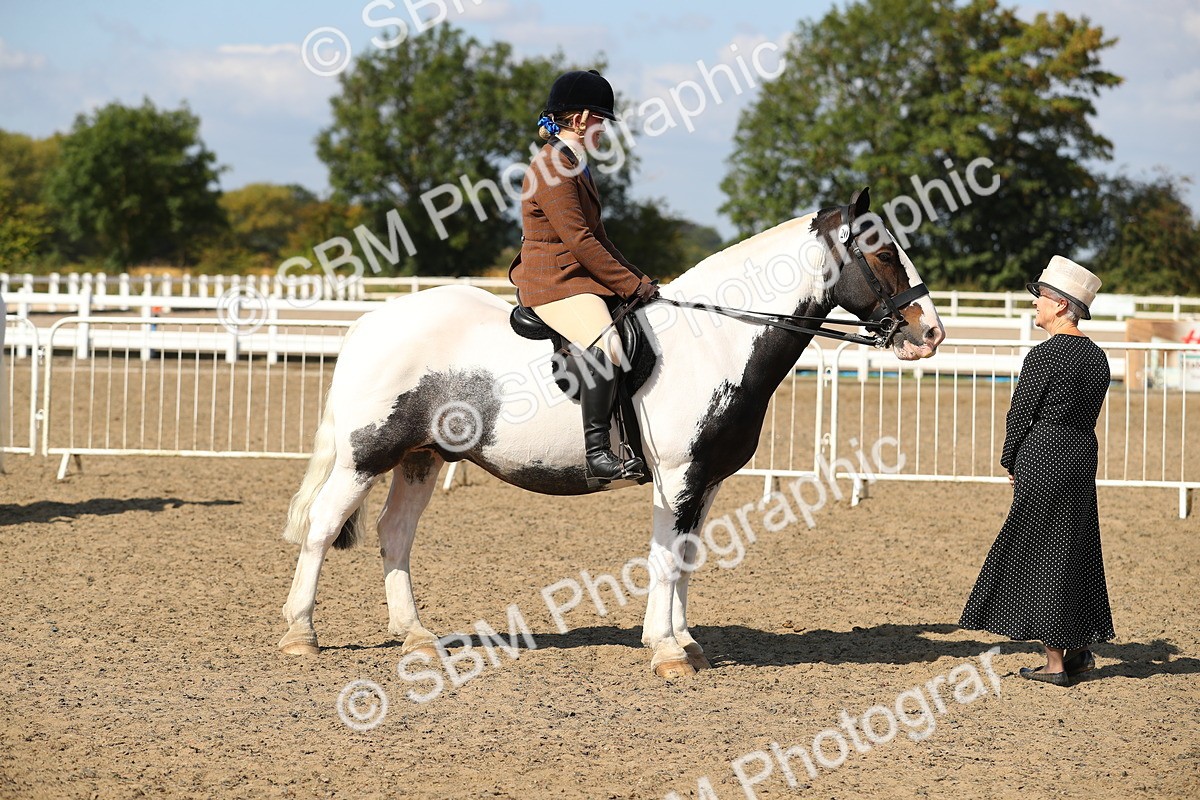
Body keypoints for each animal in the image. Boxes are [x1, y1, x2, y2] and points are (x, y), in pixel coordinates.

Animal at [278, 187, 946, 678]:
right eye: (884, 253)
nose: (931, 334)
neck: (718, 338)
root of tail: (371, 321)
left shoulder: (704, 480)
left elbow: (686, 556)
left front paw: (683, 641)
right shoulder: (678, 476)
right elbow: (666, 558)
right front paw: (669, 652)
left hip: (421, 457)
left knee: (395, 534)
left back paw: (415, 636)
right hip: (367, 457)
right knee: (323, 526)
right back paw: (300, 634)